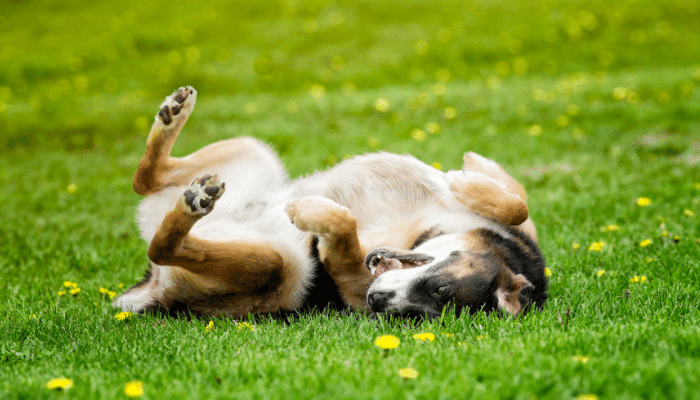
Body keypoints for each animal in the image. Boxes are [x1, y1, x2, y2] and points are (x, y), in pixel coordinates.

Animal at [115, 86, 548, 318]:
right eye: (440, 288)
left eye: (417, 317)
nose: (377, 300)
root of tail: (155, 291)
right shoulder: (519, 220)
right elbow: (517, 201)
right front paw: (466, 175)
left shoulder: (351, 281)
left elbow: (343, 231)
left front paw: (315, 213)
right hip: (253, 150)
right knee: (144, 179)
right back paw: (173, 115)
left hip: (281, 268)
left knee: (165, 242)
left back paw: (192, 207)